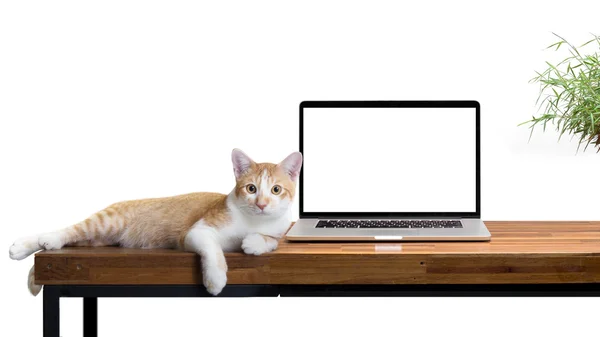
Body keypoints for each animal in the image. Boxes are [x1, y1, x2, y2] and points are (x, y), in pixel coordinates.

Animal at [7, 148, 302, 296]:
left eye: (276, 190)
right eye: (251, 189)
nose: (261, 204)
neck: (252, 221)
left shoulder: (280, 230)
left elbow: (270, 240)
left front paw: (254, 243)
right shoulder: (196, 232)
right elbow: (214, 251)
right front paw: (216, 280)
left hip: (98, 239)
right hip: (106, 222)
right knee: (68, 230)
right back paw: (31, 243)